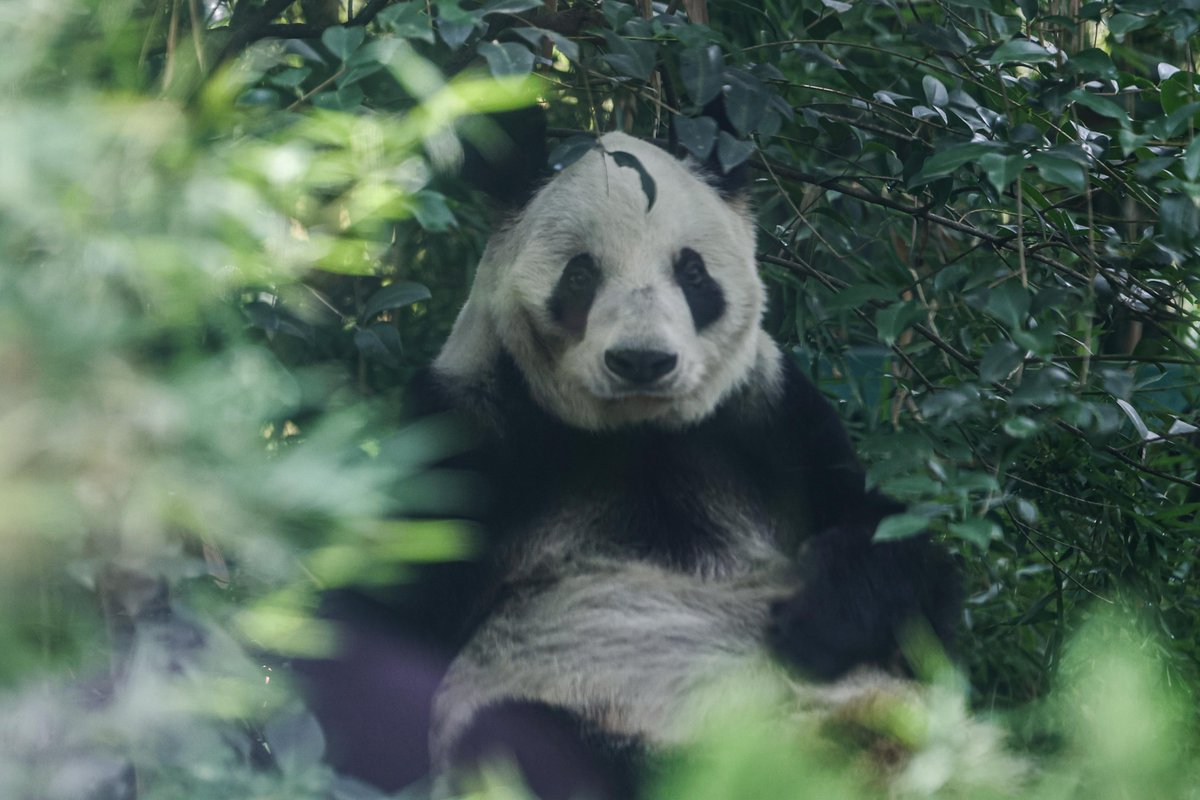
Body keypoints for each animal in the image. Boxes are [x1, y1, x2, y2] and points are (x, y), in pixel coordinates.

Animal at [399, 129, 963, 798]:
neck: (638, 431)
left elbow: (892, 542)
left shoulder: (770, 417)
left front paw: (818, 621)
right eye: (581, 273)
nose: (642, 360)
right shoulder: (469, 429)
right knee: (524, 736)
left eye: (691, 271)